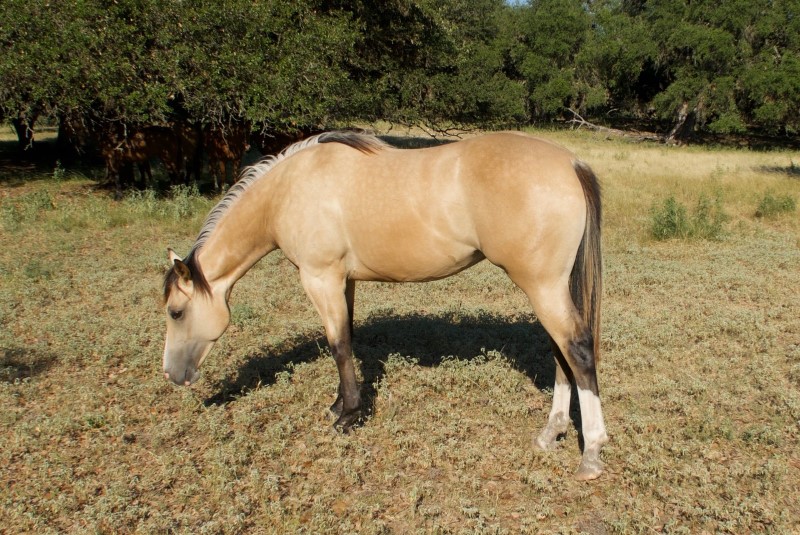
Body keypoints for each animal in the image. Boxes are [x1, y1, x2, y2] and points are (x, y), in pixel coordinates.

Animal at [162, 131, 608, 482]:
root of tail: (570, 163)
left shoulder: (320, 279)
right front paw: (340, 404)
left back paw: (591, 453)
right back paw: (551, 433)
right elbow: (347, 339)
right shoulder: (343, 282)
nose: (172, 375)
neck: (290, 189)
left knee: (578, 350)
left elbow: (338, 345)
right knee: (561, 353)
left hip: (542, 287)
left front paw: (348, 416)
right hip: (550, 288)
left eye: (175, 312)